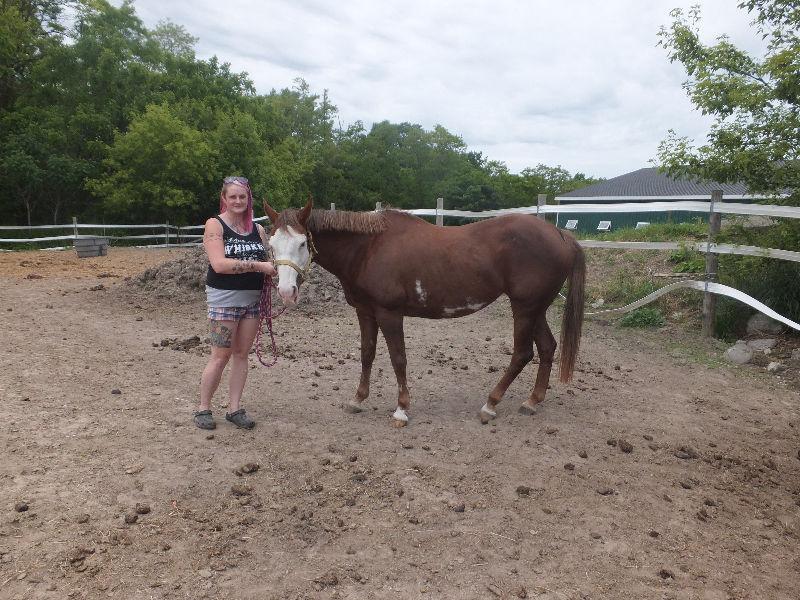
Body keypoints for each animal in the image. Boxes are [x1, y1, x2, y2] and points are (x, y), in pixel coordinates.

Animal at [266, 199, 584, 424]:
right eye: (271, 244)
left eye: (302, 243)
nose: (286, 291)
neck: (369, 248)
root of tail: (560, 234)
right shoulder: (365, 312)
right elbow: (367, 353)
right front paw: (358, 400)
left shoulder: (389, 313)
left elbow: (398, 359)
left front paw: (401, 409)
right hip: (536, 308)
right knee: (547, 347)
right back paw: (532, 401)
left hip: (525, 308)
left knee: (522, 353)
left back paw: (490, 405)